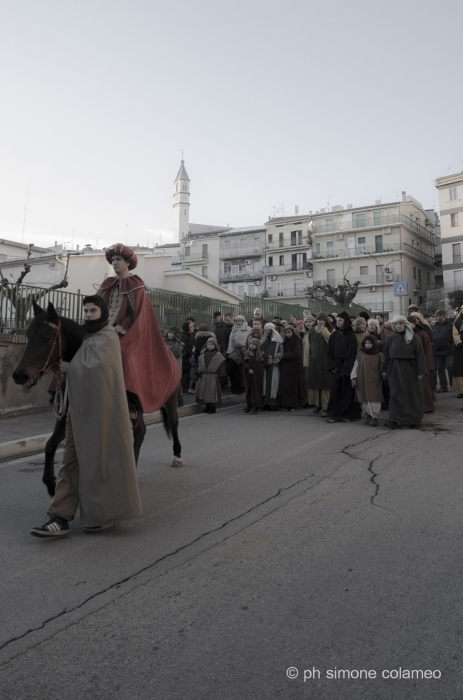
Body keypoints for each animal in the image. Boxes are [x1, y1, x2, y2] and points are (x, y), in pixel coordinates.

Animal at [11, 298, 182, 494]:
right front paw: (51, 484)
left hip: (169, 400)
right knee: (140, 431)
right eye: (28, 335)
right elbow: (50, 445)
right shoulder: (66, 415)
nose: (20, 375)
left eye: (46, 338)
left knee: (173, 423)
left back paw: (177, 456)